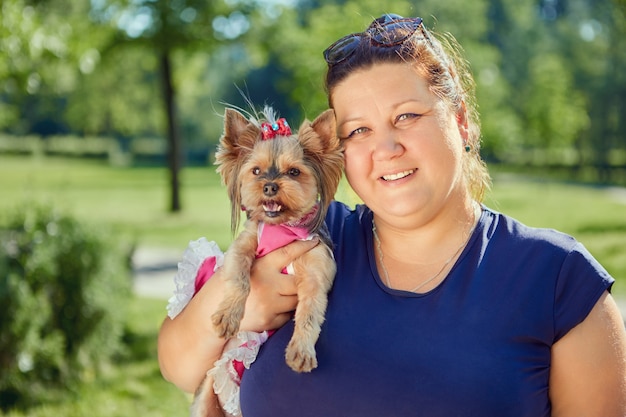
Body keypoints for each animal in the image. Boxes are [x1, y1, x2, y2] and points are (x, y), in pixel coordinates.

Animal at [193, 105, 344, 414]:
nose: (270, 186)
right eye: (256, 171)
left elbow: (310, 312)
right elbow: (239, 280)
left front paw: (301, 349)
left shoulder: (316, 271)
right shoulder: (242, 247)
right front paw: (228, 315)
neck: (282, 228)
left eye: (294, 171)